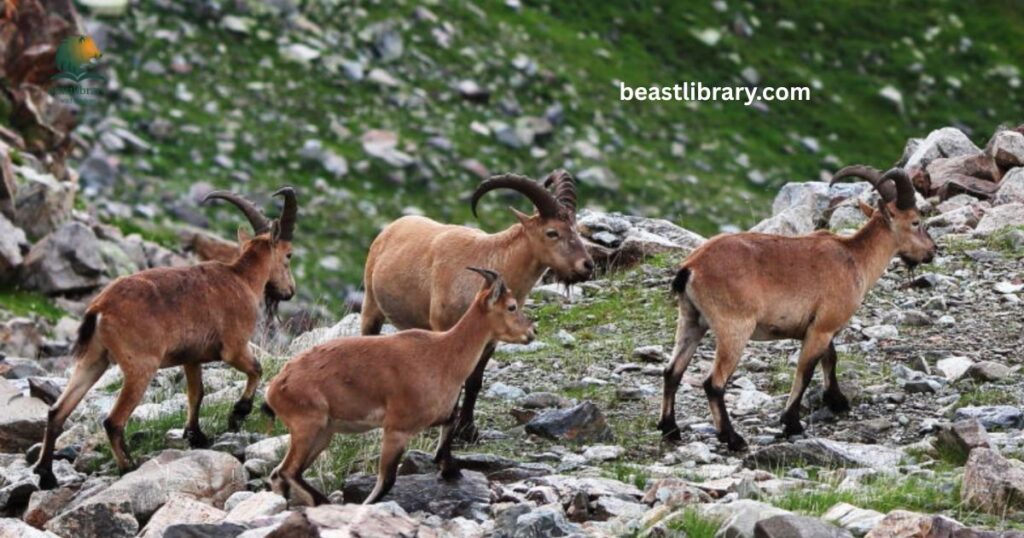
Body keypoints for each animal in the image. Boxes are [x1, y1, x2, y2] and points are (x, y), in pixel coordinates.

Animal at [33, 188, 298, 489]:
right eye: (289, 255)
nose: (289, 291)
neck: (241, 279)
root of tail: (99, 309)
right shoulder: (234, 347)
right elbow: (256, 369)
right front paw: (237, 413)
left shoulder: (192, 358)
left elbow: (196, 393)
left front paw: (196, 435)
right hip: (141, 365)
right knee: (113, 420)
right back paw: (127, 465)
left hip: (93, 359)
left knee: (57, 411)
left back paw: (47, 475)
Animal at [266, 268, 534, 506]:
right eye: (512, 306)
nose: (532, 331)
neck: (444, 355)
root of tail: (275, 387)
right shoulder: (397, 429)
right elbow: (387, 481)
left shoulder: (433, 416)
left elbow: (449, 425)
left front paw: (449, 468)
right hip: (308, 425)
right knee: (289, 470)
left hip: (323, 433)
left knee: (280, 473)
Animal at [360, 171, 593, 443]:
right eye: (552, 232)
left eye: (576, 228)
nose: (587, 265)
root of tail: (391, 227)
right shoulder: (443, 328)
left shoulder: (490, 339)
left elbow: (474, 381)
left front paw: (468, 430)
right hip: (371, 306)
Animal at [659, 167, 936, 450]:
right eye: (916, 221)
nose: (932, 251)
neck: (855, 258)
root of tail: (691, 268)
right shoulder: (822, 328)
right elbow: (806, 371)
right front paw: (792, 423)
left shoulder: (822, 326)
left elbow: (830, 359)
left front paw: (837, 401)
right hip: (734, 328)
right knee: (713, 383)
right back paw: (732, 438)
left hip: (691, 320)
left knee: (672, 371)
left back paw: (670, 430)